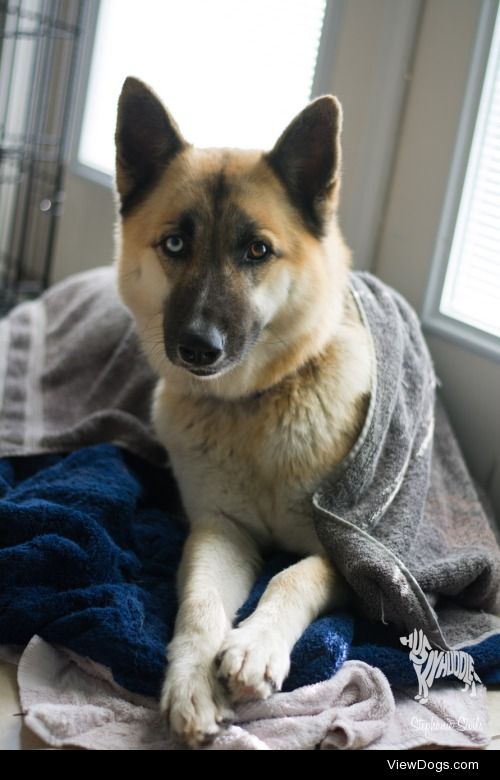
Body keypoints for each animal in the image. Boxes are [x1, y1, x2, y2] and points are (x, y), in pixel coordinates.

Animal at [115, 76, 374, 748]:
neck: (258, 407)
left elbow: (293, 575)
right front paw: (191, 682)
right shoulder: (220, 530)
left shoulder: (357, 559)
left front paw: (255, 644)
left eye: (257, 250)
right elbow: (200, 601)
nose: (197, 348)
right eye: (175, 243)